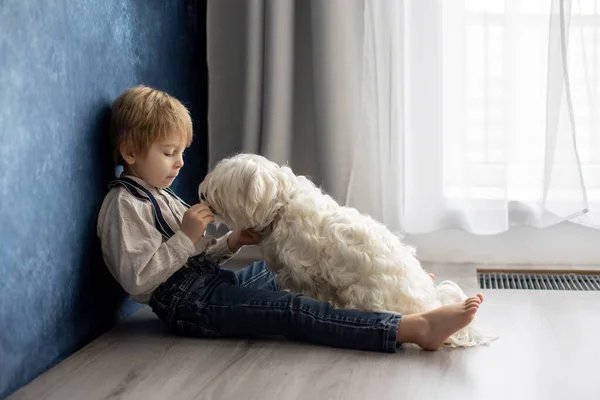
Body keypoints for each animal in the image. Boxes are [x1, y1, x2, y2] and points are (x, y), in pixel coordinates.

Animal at [198, 153, 496, 346]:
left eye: (219, 184)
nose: (202, 191)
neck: (281, 206)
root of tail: (429, 303)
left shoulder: (305, 275)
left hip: (363, 295)